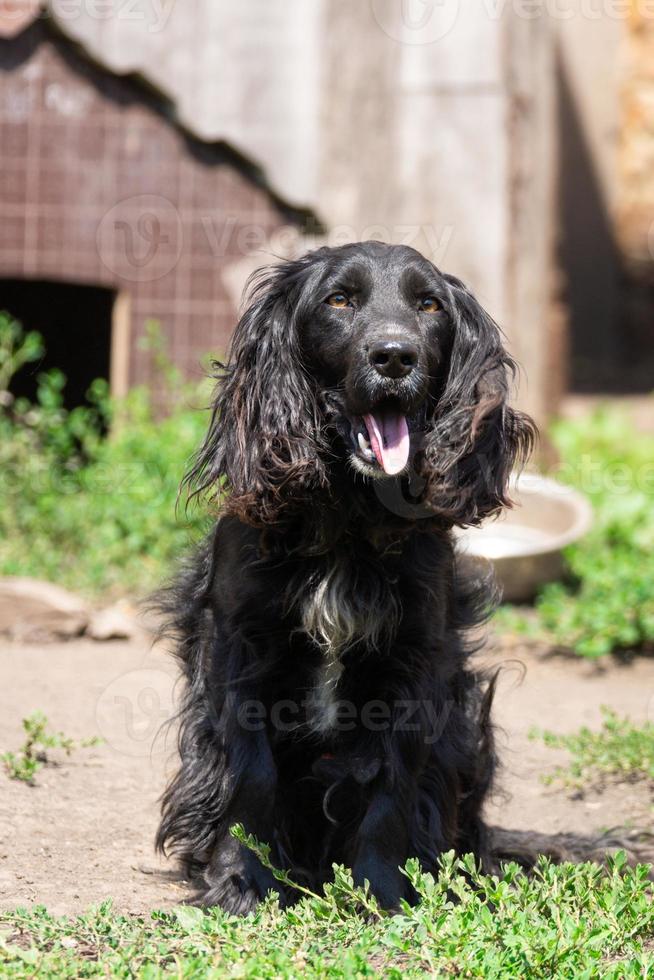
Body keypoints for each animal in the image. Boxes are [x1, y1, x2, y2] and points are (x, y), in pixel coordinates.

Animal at [156, 243, 536, 912]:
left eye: (429, 305)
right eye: (339, 300)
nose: (395, 356)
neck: (350, 519)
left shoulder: (415, 660)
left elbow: (391, 783)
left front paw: (383, 891)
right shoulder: (238, 647)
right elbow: (250, 771)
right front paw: (241, 881)